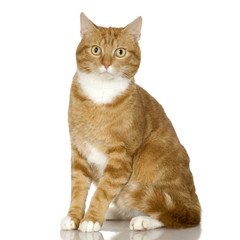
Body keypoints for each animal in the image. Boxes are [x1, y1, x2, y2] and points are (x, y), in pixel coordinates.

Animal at [60, 13, 201, 232]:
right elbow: (78, 189)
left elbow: (102, 192)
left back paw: (144, 220)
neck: (100, 95)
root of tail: (194, 204)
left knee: (172, 213)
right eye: (96, 50)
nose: (106, 63)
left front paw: (91, 218)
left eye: (120, 52)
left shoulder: (120, 158)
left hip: (153, 156)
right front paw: (74, 217)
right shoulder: (78, 152)